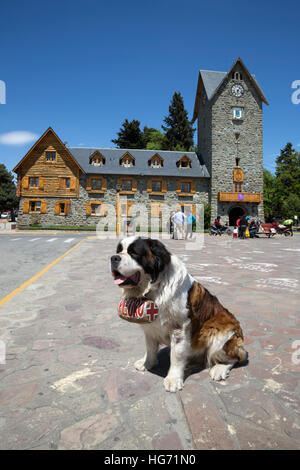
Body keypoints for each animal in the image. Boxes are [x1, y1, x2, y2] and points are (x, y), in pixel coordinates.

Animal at [110, 235, 246, 392]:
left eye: (134, 253)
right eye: (118, 251)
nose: (113, 258)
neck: (155, 287)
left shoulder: (179, 329)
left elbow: (176, 355)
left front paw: (173, 379)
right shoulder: (150, 328)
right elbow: (150, 348)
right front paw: (147, 363)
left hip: (219, 333)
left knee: (236, 358)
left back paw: (219, 369)